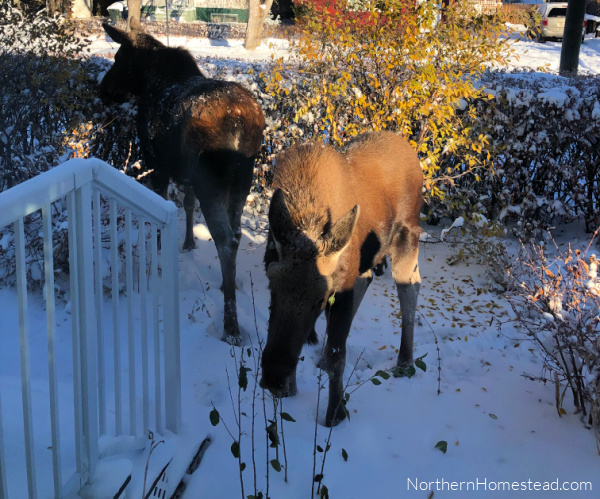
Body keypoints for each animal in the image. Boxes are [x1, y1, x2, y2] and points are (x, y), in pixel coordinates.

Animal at [99, 23, 264, 344]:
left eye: (118, 58)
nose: (102, 91)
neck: (150, 84)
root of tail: (240, 124)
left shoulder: (157, 164)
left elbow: (160, 212)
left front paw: (158, 259)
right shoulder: (187, 174)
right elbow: (187, 204)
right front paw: (188, 242)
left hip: (212, 182)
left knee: (226, 239)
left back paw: (231, 326)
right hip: (242, 180)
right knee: (237, 232)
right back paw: (229, 284)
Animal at [260, 132, 424, 426]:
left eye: (319, 299)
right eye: (272, 288)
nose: (273, 376)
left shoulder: (340, 288)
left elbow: (338, 354)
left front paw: (335, 415)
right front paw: (291, 390)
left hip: (407, 237)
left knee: (410, 287)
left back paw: (405, 361)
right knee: (368, 277)